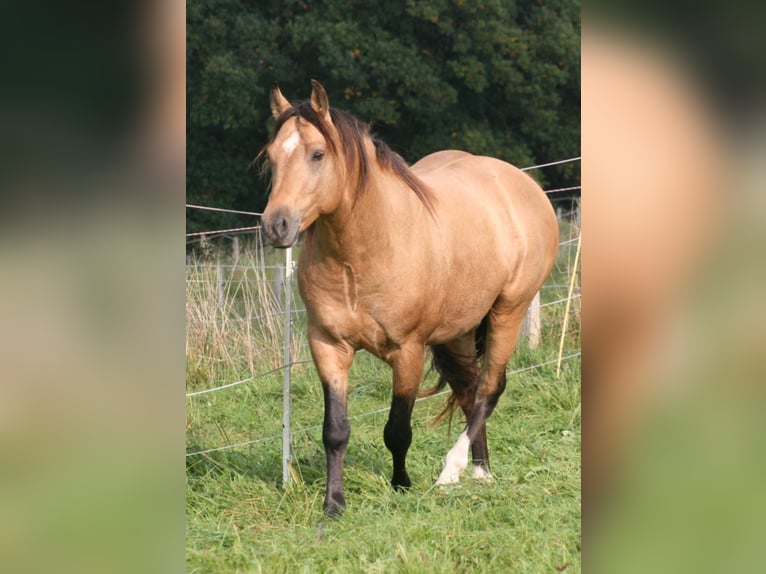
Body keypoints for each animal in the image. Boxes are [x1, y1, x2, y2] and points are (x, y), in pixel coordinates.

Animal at [260, 80, 559, 516]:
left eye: (317, 154)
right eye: (271, 156)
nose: (275, 225)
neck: (362, 254)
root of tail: (520, 183)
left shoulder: (408, 351)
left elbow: (397, 429)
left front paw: (401, 484)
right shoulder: (328, 345)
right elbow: (335, 430)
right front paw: (334, 503)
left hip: (509, 311)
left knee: (489, 389)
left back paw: (452, 471)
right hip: (461, 329)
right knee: (469, 389)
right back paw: (480, 471)